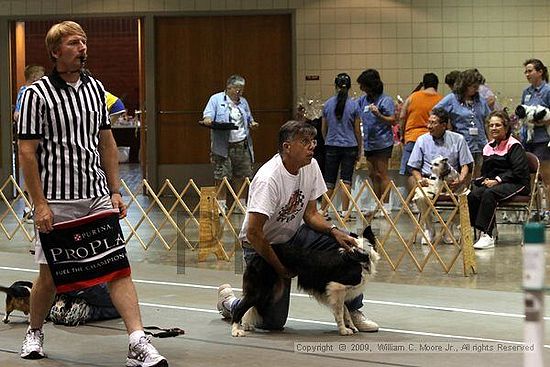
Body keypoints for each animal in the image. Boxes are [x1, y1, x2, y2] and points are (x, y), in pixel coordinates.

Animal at [232, 229, 380, 338]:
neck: (358, 255)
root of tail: (258, 255)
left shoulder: (340, 292)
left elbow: (346, 310)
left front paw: (352, 326)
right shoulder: (336, 287)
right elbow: (339, 311)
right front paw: (344, 330)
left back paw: (246, 325)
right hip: (262, 288)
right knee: (240, 306)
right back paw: (236, 330)